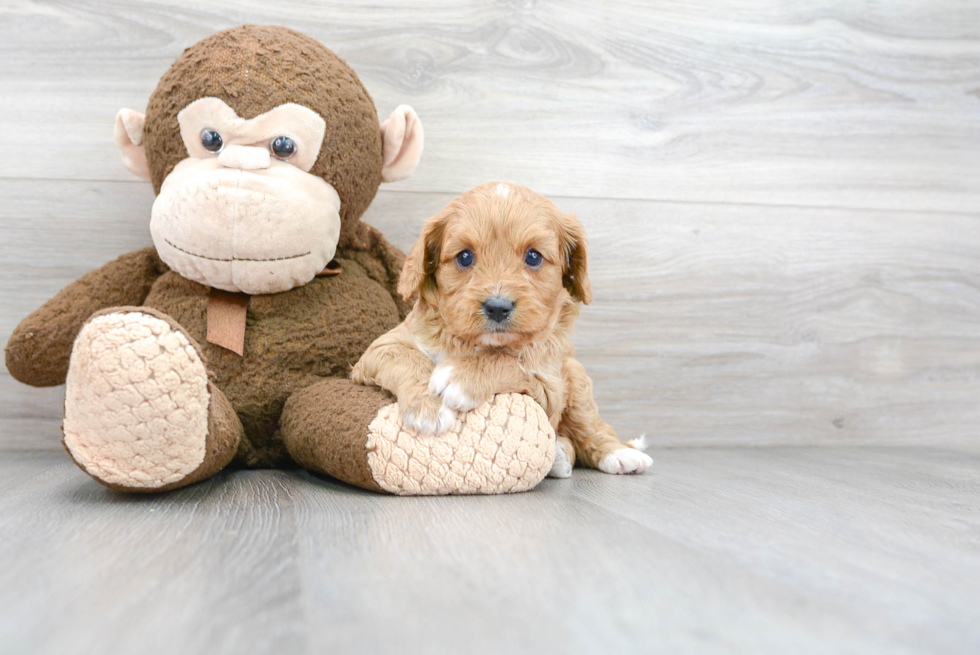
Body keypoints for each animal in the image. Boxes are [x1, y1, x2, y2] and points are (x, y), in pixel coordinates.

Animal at [348, 183, 656, 476]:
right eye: (464, 257)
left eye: (533, 257)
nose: (497, 307)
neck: (473, 344)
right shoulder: (379, 350)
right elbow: (407, 358)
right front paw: (429, 407)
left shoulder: (549, 387)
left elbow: (508, 362)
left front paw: (459, 376)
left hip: (576, 375)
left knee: (591, 428)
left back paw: (619, 453)